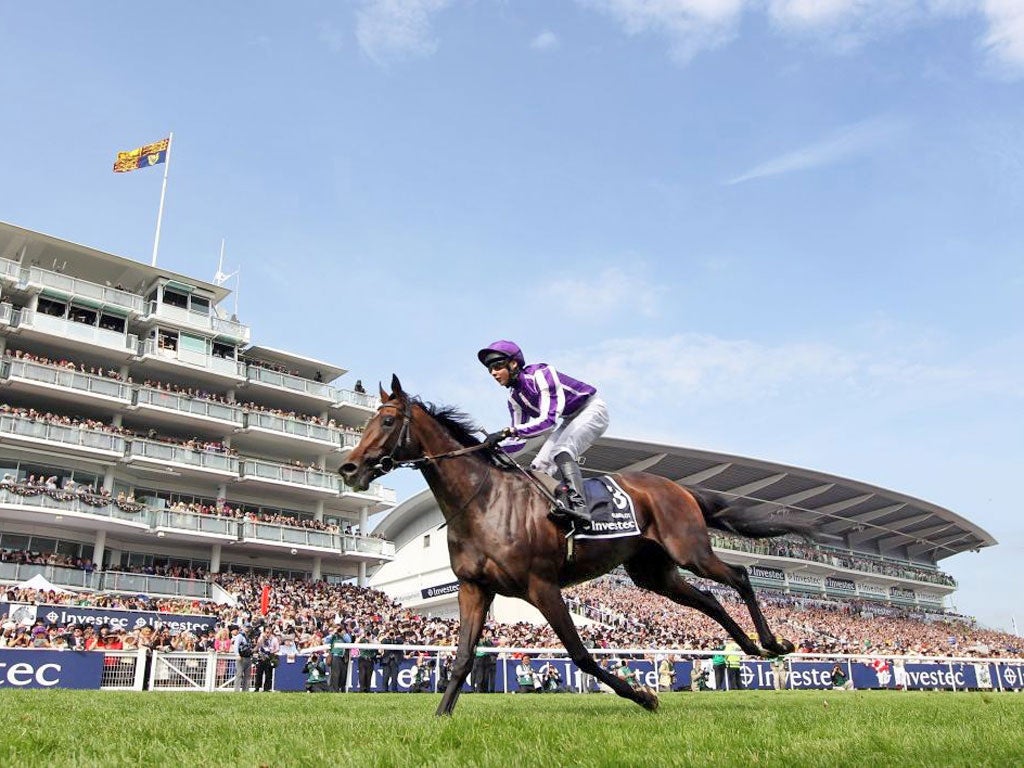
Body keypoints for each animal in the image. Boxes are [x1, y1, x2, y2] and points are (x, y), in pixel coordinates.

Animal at [344, 376, 823, 716]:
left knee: (738, 577)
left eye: (387, 421)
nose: (350, 468)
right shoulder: (473, 588)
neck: (482, 499)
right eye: (366, 422)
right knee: (709, 600)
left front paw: (646, 697)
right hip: (654, 574)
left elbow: (581, 655)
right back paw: (751, 647)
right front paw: (440, 717)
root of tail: (681, 488)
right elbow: (462, 658)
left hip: (690, 551)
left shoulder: (541, 586)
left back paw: (774, 643)